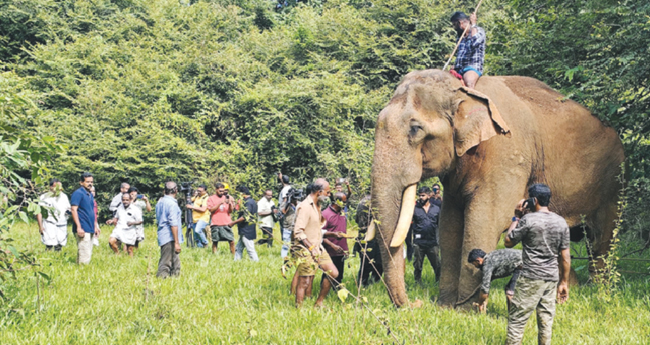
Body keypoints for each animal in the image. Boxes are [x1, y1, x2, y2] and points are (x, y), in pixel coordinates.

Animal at [368, 69, 620, 306]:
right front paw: (445, 307)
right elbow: (450, 223)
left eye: (415, 129)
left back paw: (598, 290)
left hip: (614, 179)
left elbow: (485, 219)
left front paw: (467, 309)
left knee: (602, 238)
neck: (463, 92)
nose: (416, 303)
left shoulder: (506, 153)